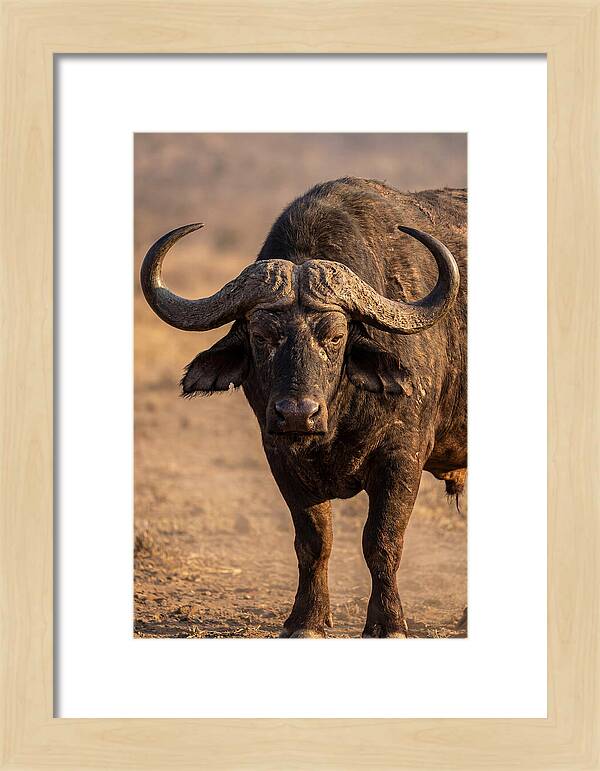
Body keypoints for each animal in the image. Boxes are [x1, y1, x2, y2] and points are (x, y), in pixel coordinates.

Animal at [140, 177, 467, 638]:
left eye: (335, 336)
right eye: (261, 335)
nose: (297, 413)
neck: (336, 420)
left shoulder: (401, 457)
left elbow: (382, 541)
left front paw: (388, 623)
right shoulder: (280, 456)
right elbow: (314, 541)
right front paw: (307, 620)